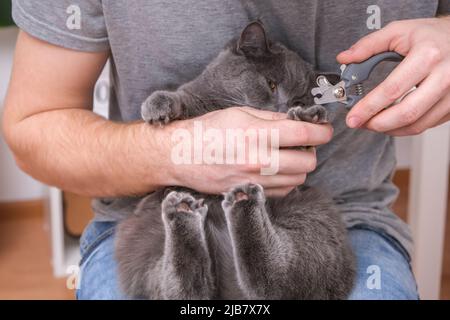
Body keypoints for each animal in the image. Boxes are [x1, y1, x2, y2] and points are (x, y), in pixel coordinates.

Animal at [115, 21, 356, 298]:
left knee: (276, 281)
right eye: (271, 84)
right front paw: (157, 105)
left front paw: (306, 117)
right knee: (184, 287)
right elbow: (184, 99)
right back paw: (186, 210)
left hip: (315, 215)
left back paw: (242, 200)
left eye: (299, 99)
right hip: (144, 236)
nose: (284, 108)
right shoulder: (197, 98)